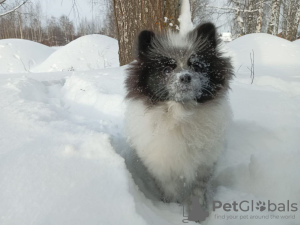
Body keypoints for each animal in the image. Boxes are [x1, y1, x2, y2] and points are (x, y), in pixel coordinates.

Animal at [124, 22, 234, 207]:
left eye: (196, 66)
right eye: (167, 69)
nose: (185, 77)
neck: (181, 115)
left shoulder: (204, 165)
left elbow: (198, 189)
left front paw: (197, 207)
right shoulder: (163, 166)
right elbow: (169, 189)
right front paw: (171, 206)